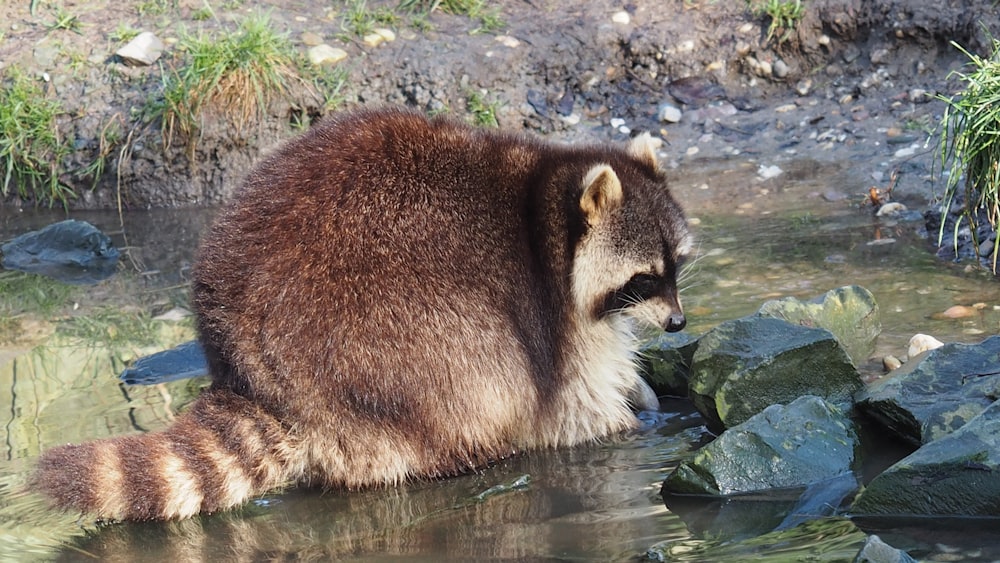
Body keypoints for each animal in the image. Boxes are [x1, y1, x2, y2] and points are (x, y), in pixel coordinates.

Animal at [29, 106, 688, 520]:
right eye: (644, 277)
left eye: (677, 266)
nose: (679, 323)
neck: (548, 202)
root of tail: (249, 372)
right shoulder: (546, 306)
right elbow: (571, 396)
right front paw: (627, 418)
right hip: (381, 336)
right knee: (473, 367)